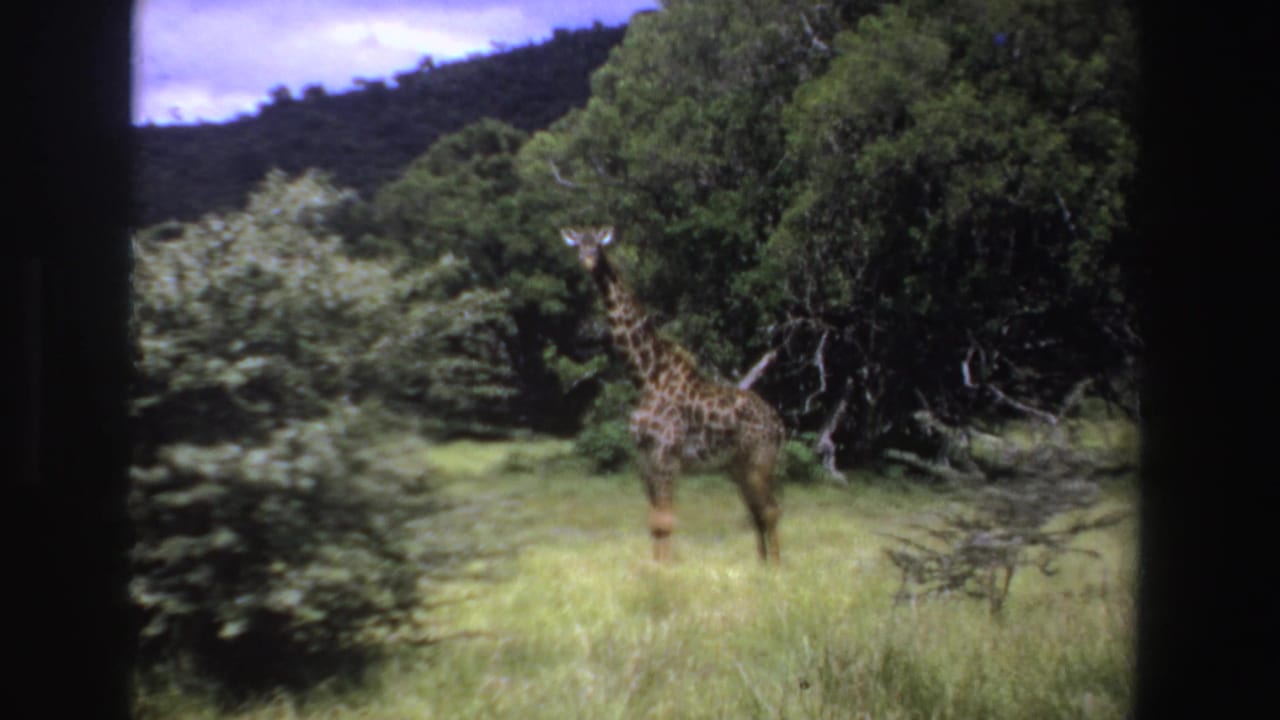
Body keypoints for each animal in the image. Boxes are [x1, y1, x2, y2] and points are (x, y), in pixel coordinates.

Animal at [561, 226, 784, 564]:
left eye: (598, 246)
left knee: (770, 511)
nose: (588, 261)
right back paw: (761, 566)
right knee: (756, 512)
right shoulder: (644, 458)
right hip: (738, 466)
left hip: (761, 459)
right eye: (578, 246)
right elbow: (654, 522)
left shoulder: (667, 455)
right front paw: (656, 567)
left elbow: (665, 521)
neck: (646, 377)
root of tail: (779, 424)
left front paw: (666, 570)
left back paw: (778, 568)